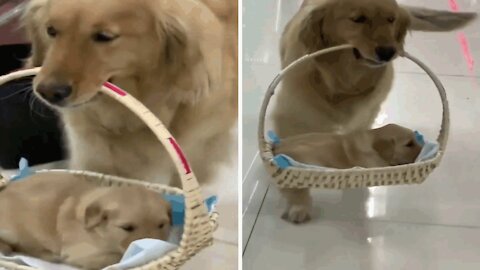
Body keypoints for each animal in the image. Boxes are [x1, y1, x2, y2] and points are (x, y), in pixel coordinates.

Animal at [0, 173, 172, 270]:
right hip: (16, 231)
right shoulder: (81, 251)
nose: (155, 246)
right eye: (127, 227)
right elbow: (116, 257)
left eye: (161, 225)